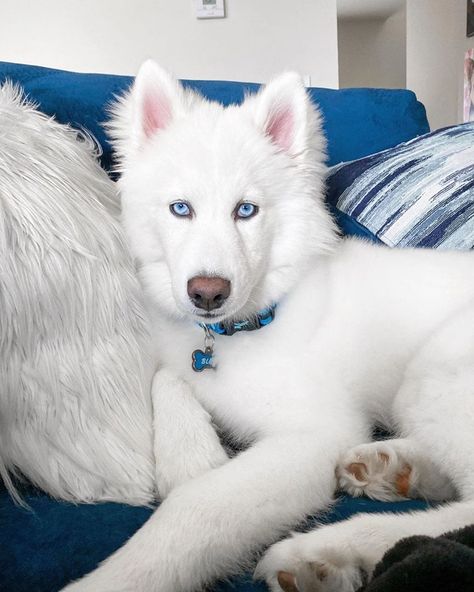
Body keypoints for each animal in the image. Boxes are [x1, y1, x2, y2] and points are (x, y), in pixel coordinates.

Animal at [65, 61, 474, 592]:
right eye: (181, 208)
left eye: (246, 210)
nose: (207, 293)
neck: (241, 328)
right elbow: (165, 379)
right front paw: (192, 458)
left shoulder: (314, 434)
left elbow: (197, 505)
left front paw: (121, 576)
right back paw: (391, 470)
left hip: (433, 372)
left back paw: (326, 550)